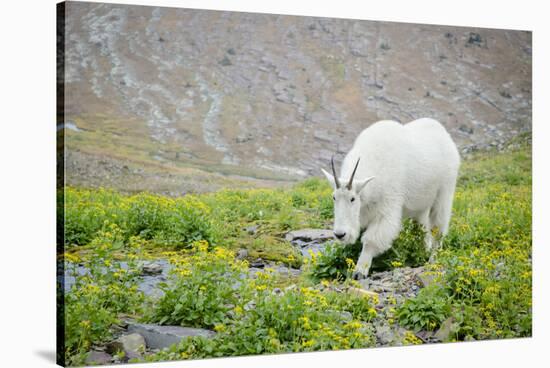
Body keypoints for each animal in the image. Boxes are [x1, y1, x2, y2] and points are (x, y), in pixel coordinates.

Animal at [324, 118, 462, 278]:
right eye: (334, 197)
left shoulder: (387, 207)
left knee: (438, 228)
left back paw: (434, 259)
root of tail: (445, 134)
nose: (340, 234)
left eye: (352, 199)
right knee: (422, 228)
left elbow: (371, 240)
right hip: (420, 205)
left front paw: (359, 271)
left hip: (445, 190)